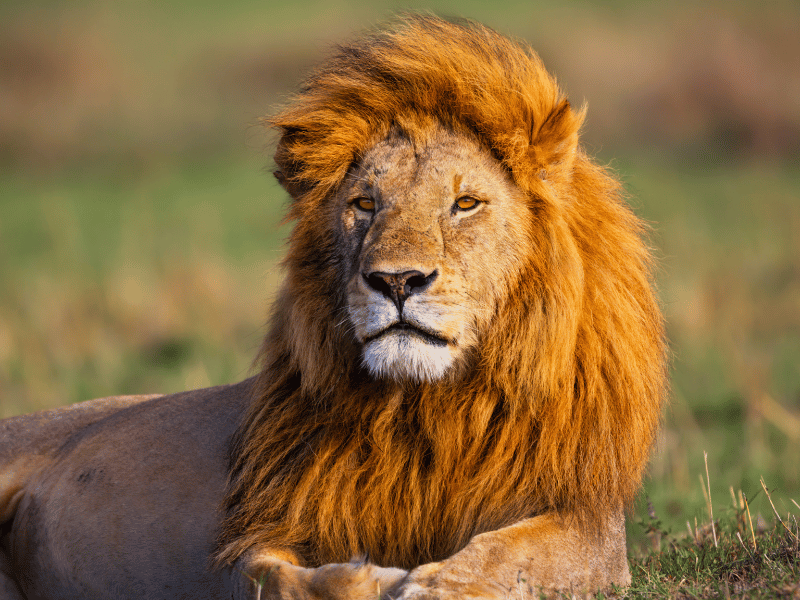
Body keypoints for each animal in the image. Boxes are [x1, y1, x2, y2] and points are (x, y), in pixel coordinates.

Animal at [0, 15, 666, 600]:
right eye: (365, 204)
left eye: (466, 203)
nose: (396, 281)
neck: (424, 409)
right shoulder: (260, 527)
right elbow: (275, 577)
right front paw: (373, 579)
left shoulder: (586, 522)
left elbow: (510, 552)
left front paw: (437, 584)